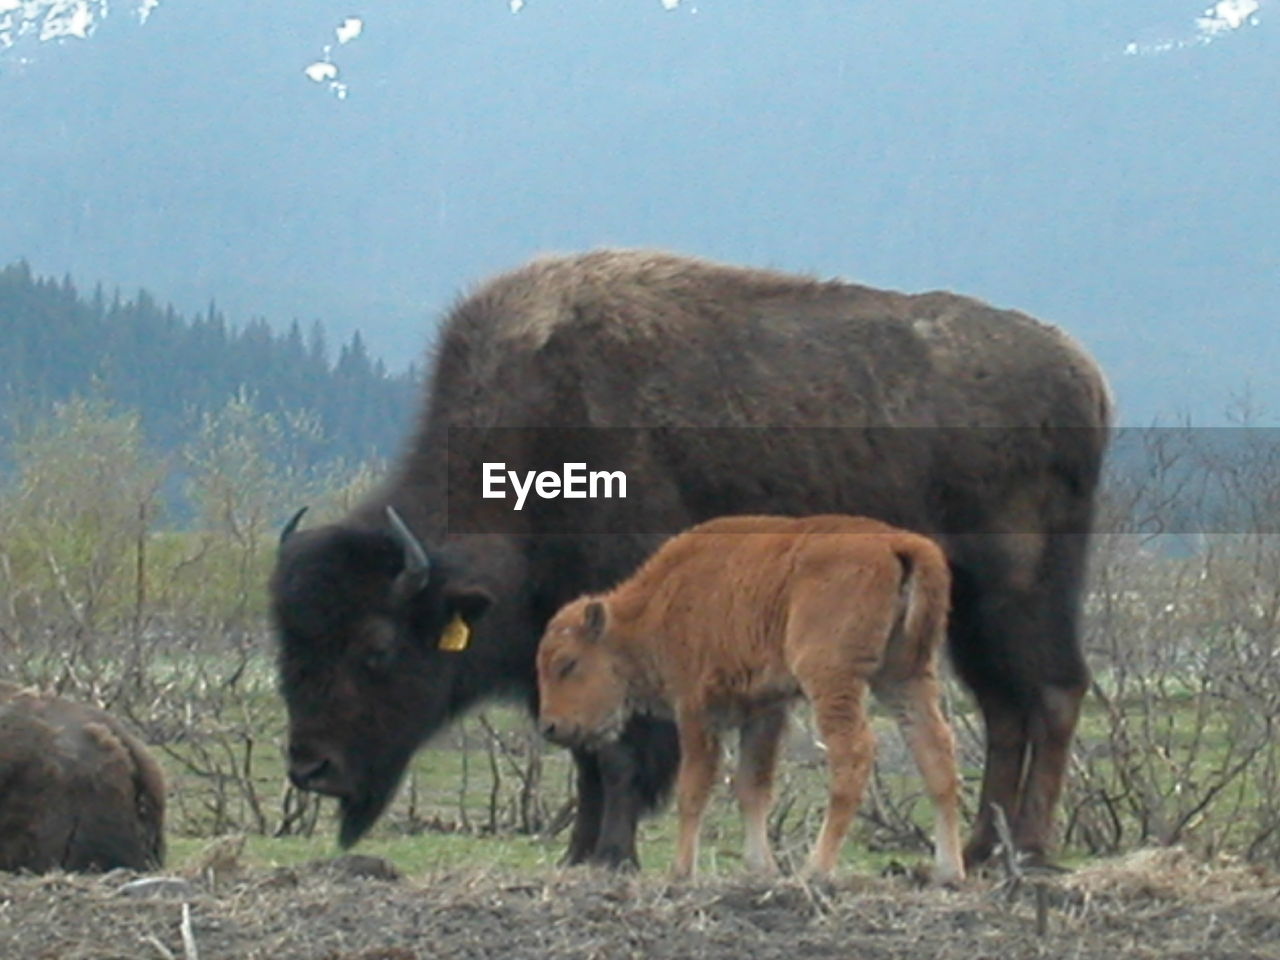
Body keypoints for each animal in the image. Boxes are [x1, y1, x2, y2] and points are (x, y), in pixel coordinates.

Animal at [535, 514, 962, 885]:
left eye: (567, 663)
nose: (551, 726)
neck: (657, 604)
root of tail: (898, 544)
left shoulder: (696, 710)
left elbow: (693, 790)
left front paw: (681, 871)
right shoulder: (764, 711)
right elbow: (752, 787)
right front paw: (761, 868)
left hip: (833, 679)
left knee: (852, 755)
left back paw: (816, 870)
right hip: (906, 676)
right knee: (936, 752)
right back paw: (948, 873)